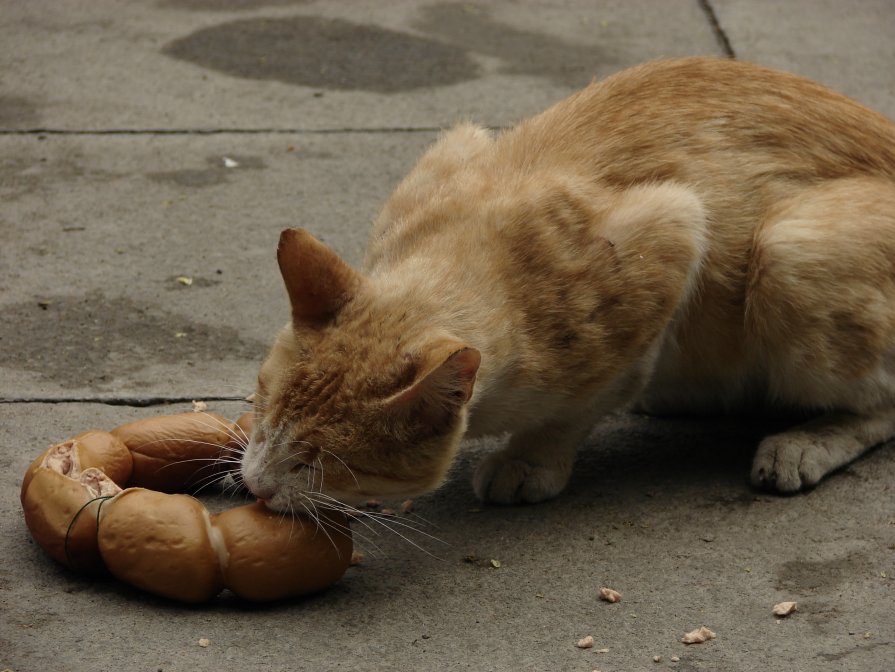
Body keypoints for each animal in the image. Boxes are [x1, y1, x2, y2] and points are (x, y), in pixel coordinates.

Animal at [242, 59, 895, 510]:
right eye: (263, 413)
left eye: (317, 463)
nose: (256, 487)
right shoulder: (456, 145)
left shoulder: (676, 230)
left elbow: (582, 404)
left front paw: (530, 460)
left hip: (787, 252)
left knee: (880, 403)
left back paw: (803, 442)